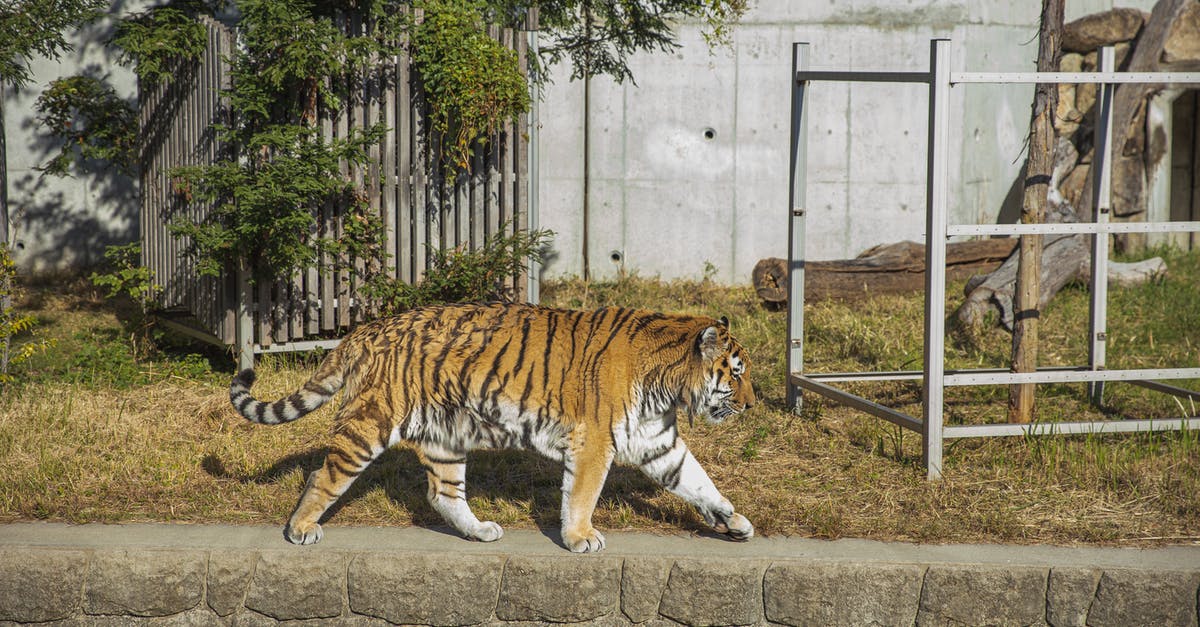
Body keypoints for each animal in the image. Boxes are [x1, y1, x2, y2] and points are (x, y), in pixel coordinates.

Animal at [228, 300, 753, 550]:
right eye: (736, 373)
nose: (750, 406)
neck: (667, 385)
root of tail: (366, 329)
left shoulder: (658, 442)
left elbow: (698, 482)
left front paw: (734, 521)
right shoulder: (594, 443)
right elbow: (582, 495)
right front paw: (580, 538)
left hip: (445, 434)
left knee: (442, 494)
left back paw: (479, 531)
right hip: (369, 422)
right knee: (323, 474)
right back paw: (300, 528)